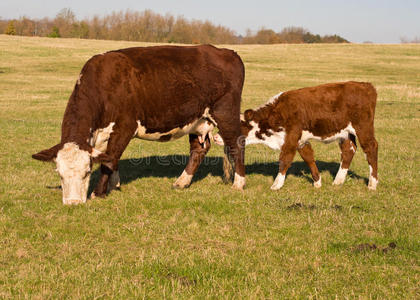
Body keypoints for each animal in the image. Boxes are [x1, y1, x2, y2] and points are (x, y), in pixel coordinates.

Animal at [34, 44, 248, 204]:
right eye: (59, 173)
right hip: (198, 120)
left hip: (225, 113)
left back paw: (239, 183)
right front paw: (114, 185)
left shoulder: (125, 127)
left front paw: (99, 192)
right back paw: (181, 182)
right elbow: (110, 158)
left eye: (87, 172)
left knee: (237, 145)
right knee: (199, 149)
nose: (73, 203)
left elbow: (110, 159)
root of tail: (226, 52)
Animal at [215, 80, 378, 190]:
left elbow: (285, 159)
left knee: (371, 148)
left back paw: (372, 183)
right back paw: (338, 181)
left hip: (363, 128)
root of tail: (365, 85)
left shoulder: (291, 139)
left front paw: (276, 184)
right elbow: (308, 157)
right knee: (348, 150)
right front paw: (317, 182)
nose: (215, 137)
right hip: (346, 133)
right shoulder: (300, 140)